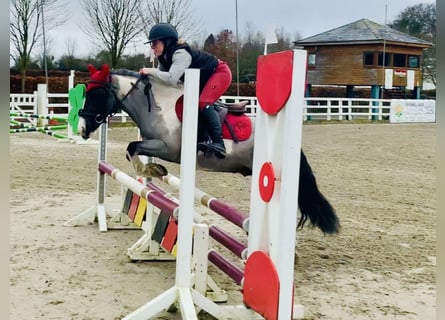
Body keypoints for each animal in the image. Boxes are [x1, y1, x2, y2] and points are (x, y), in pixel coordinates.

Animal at [78, 64, 338, 235]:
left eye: (96, 93)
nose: (82, 128)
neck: (159, 106)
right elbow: (132, 149)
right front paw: (152, 170)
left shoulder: (168, 148)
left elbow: (133, 148)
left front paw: (151, 170)